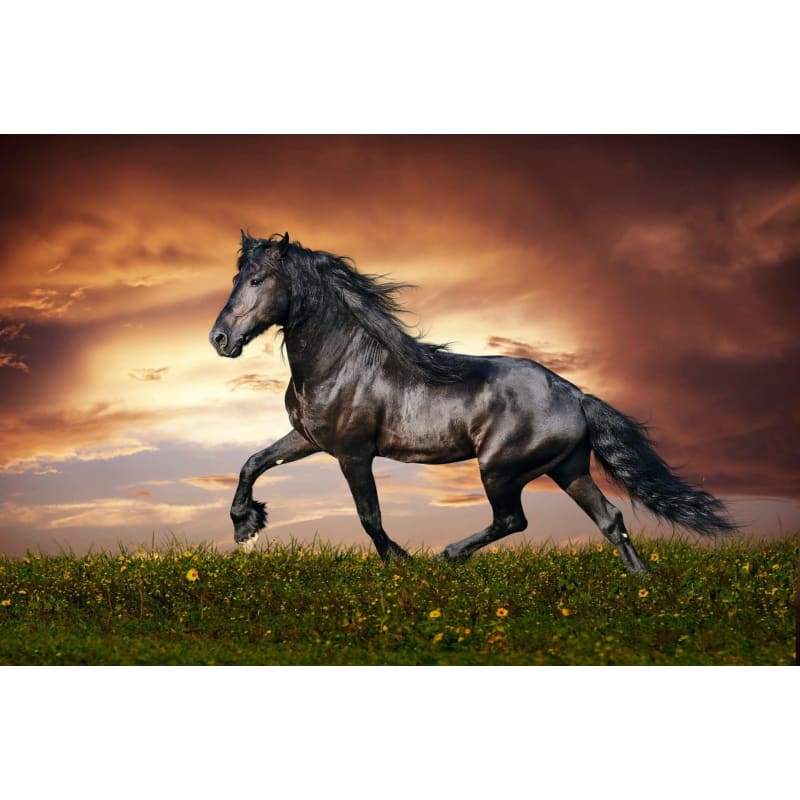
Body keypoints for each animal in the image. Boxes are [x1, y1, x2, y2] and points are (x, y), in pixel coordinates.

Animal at [209, 231, 734, 573]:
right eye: (236, 278)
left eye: (257, 280)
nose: (219, 339)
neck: (342, 361)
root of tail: (575, 395)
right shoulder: (308, 438)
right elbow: (252, 462)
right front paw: (246, 526)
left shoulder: (353, 453)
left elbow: (368, 515)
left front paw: (401, 562)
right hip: (568, 469)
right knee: (610, 519)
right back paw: (641, 583)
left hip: (500, 469)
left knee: (513, 519)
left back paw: (449, 554)